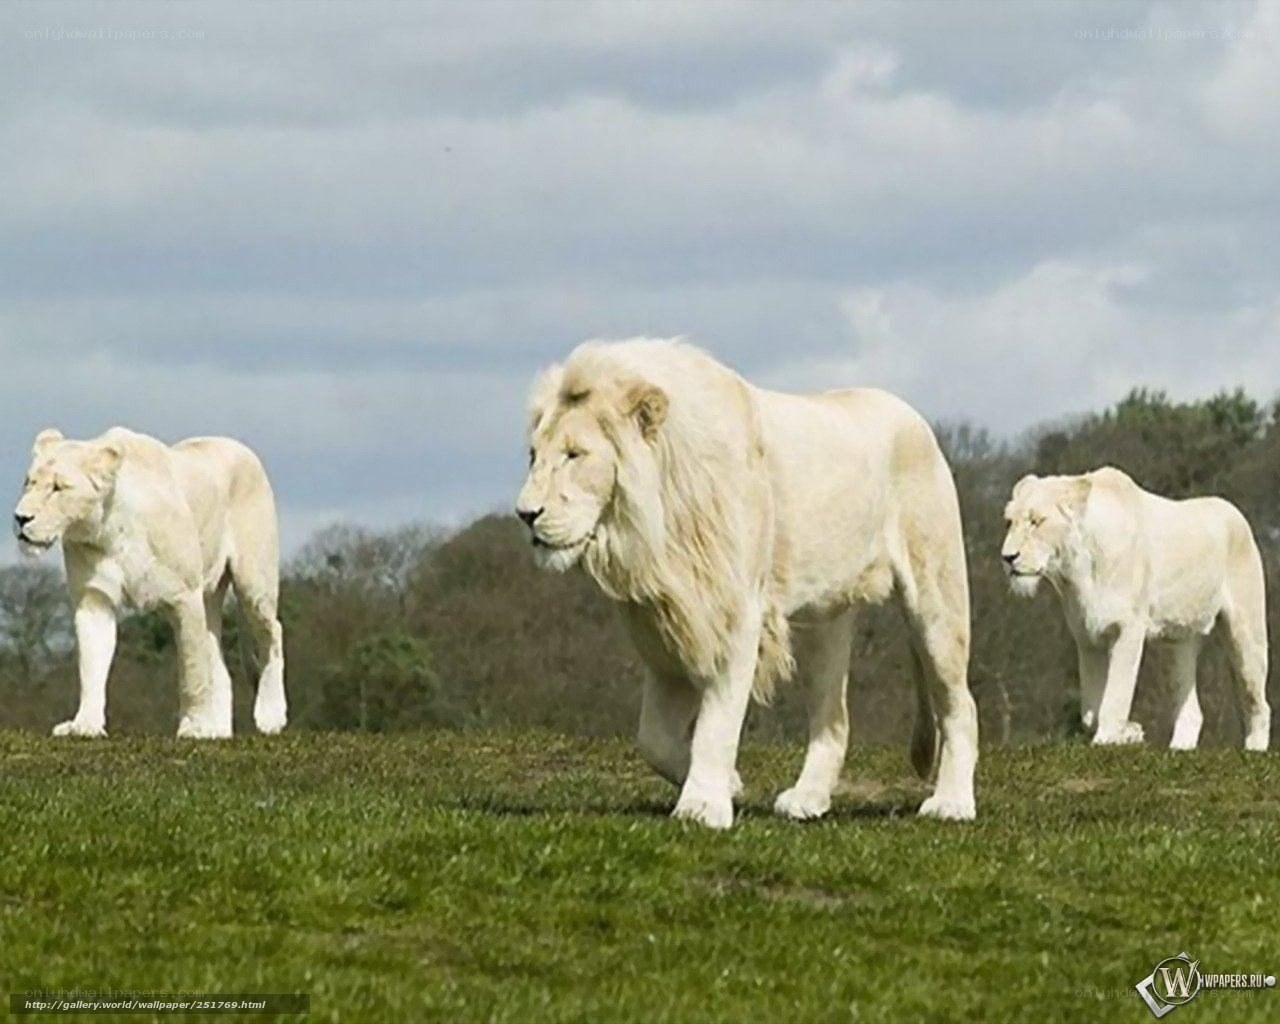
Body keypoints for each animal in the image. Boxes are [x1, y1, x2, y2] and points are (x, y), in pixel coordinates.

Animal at [13, 427, 287, 739]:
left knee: (272, 633)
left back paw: (270, 716)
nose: (20, 518)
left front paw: (193, 726)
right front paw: (85, 725)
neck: (108, 528)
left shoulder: (185, 597)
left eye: (59, 487)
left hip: (253, 583)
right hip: (210, 598)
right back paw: (217, 730)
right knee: (218, 663)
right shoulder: (94, 600)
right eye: (28, 483)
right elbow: (91, 668)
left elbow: (192, 671)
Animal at [515, 338, 979, 828]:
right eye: (533, 455)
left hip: (936, 596)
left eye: (574, 455)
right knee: (833, 718)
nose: (525, 514)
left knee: (959, 705)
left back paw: (952, 804)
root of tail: (914, 417)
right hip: (824, 618)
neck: (650, 530)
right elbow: (653, 739)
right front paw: (730, 784)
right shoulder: (669, 628)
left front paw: (703, 806)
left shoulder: (732, 612)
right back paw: (807, 799)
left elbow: (716, 722)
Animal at [1001, 467, 1270, 750]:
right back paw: (1179, 749)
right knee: (1191, 709)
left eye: (1036, 521)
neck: (1077, 569)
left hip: (1246, 631)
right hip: (1177, 643)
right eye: (1010, 522)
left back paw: (1254, 749)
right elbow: (1089, 712)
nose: (1007, 558)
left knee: (1258, 700)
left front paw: (1109, 738)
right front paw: (1130, 733)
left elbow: (1116, 694)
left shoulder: (1128, 628)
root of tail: (1235, 512)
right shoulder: (1087, 636)